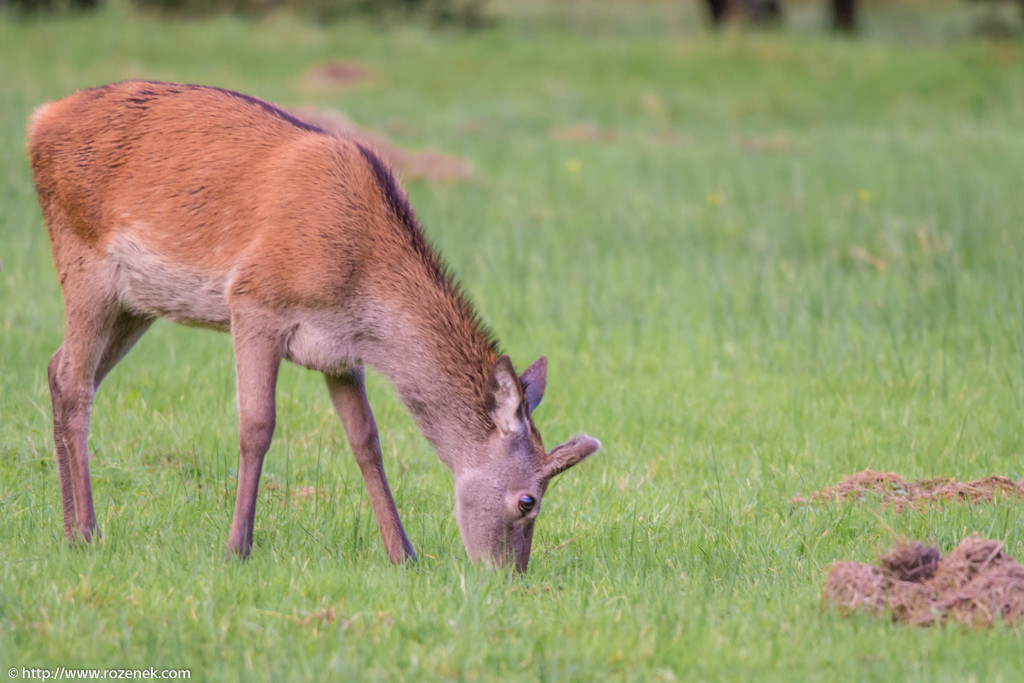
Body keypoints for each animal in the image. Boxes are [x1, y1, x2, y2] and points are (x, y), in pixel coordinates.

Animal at [25, 80, 598, 573]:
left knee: (60, 369)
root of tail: (39, 120)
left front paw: (403, 554)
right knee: (75, 381)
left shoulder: (340, 352)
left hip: (136, 302)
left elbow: (367, 442)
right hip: (83, 262)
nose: (511, 575)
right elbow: (256, 425)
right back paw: (87, 532)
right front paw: (237, 548)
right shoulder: (254, 302)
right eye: (528, 500)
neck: (360, 280)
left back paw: (67, 529)